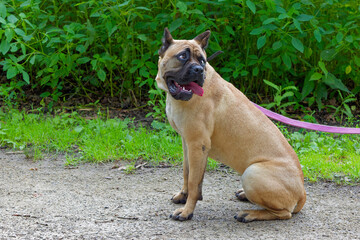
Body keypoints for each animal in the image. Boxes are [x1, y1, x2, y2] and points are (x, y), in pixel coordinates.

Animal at [155, 28, 306, 223]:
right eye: (182, 56)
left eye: (202, 60)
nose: (198, 70)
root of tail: (302, 193)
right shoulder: (187, 143)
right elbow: (187, 173)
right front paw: (183, 196)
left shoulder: (197, 145)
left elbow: (194, 182)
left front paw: (187, 211)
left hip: (252, 173)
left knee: (283, 213)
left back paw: (249, 214)